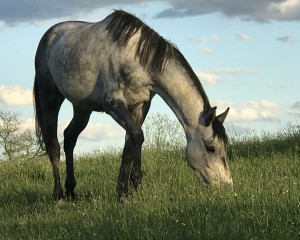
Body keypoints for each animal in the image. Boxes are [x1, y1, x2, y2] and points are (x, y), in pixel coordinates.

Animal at [34, 9, 233, 202]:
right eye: (211, 147)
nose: (226, 185)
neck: (138, 58)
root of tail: (49, 36)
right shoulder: (114, 105)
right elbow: (137, 136)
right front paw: (127, 188)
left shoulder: (140, 107)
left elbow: (130, 143)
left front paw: (129, 189)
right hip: (49, 98)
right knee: (53, 144)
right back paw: (59, 195)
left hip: (82, 107)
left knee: (69, 138)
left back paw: (71, 190)